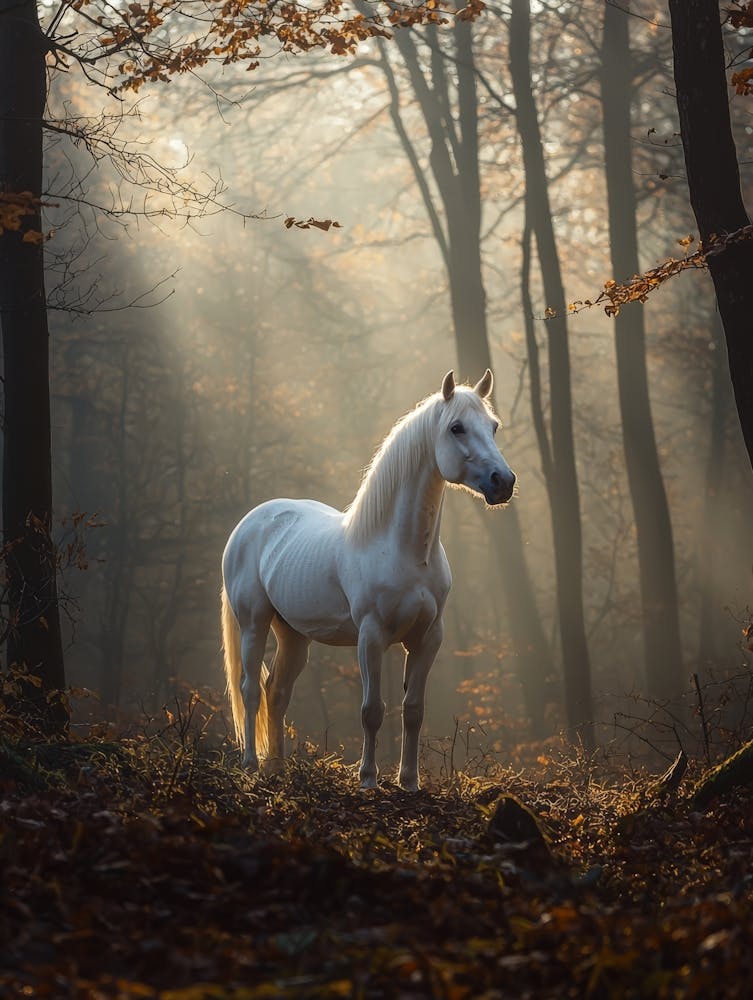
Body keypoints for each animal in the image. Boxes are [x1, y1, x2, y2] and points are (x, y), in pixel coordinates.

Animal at [220, 369, 516, 791]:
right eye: (456, 427)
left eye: (493, 426)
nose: (502, 482)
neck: (402, 550)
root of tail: (250, 522)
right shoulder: (371, 636)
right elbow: (372, 710)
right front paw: (369, 779)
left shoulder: (428, 638)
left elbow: (413, 709)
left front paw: (409, 781)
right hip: (253, 624)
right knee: (249, 690)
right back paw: (249, 765)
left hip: (293, 635)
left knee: (276, 692)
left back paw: (276, 766)